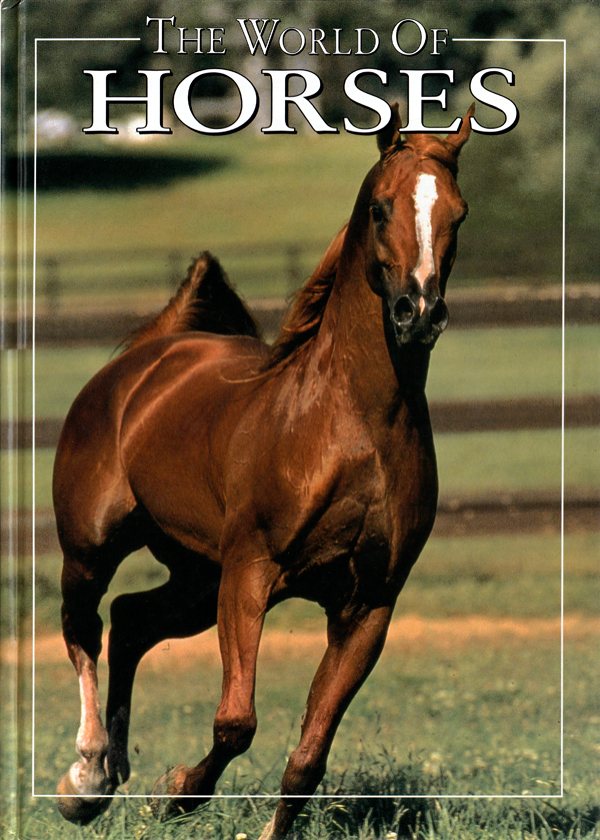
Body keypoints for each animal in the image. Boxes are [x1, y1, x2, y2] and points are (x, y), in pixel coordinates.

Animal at [54, 104, 473, 839]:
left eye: (459, 212)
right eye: (381, 208)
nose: (418, 314)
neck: (350, 427)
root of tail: (150, 357)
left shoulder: (368, 604)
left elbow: (307, 759)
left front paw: (176, 792)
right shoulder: (251, 572)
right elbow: (236, 723)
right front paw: (177, 792)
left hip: (196, 577)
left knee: (131, 620)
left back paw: (115, 771)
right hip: (94, 548)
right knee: (84, 629)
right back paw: (86, 780)